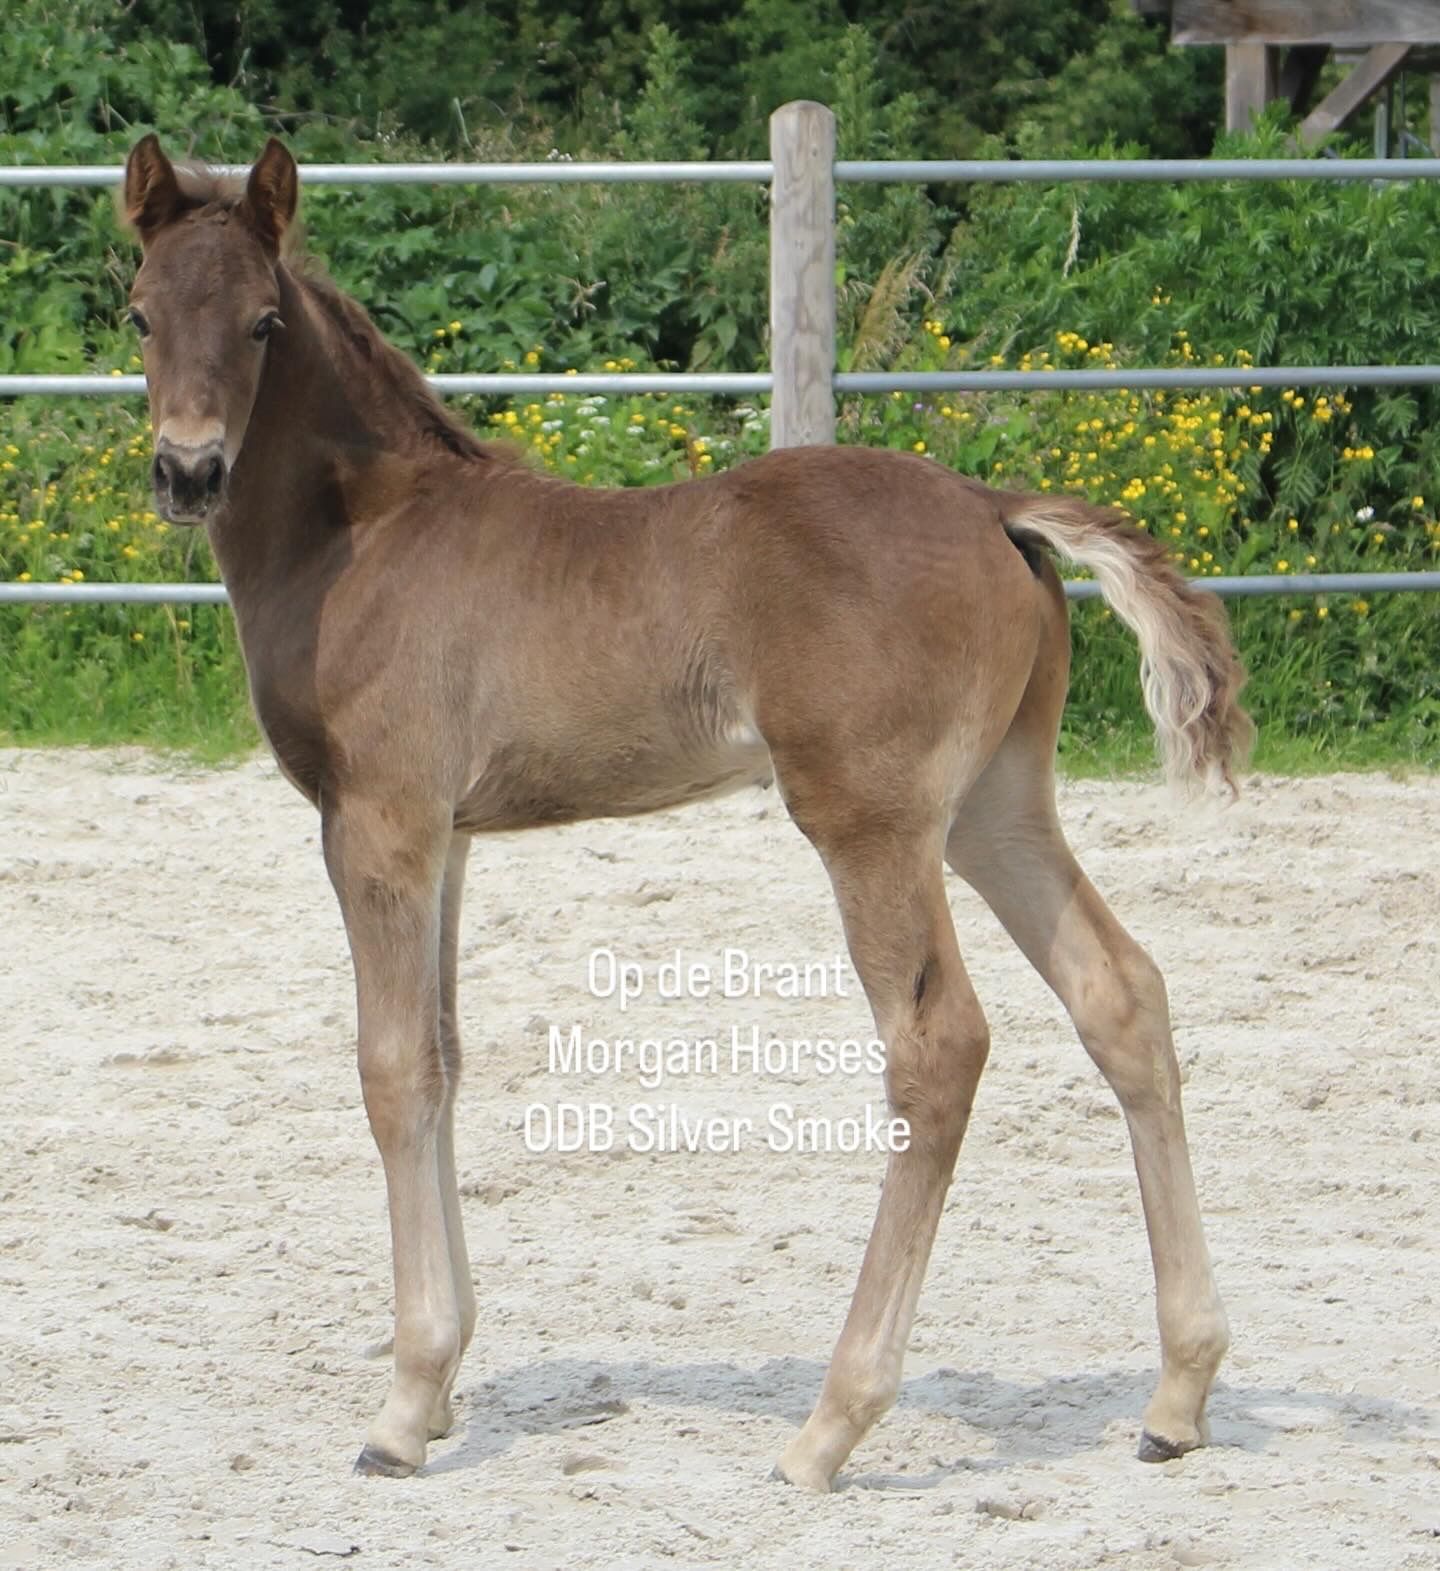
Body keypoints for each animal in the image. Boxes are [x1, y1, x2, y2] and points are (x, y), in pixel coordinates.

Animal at [120, 133, 1252, 1485]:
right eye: (139, 312)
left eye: (262, 321)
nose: (189, 470)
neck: (369, 537)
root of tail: (993, 507)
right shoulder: (445, 836)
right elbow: (444, 1056)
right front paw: (442, 1380)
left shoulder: (377, 821)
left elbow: (390, 1069)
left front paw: (402, 1408)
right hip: (995, 807)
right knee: (1119, 993)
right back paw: (1177, 1394)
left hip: (870, 820)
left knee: (938, 1047)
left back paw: (832, 1422)